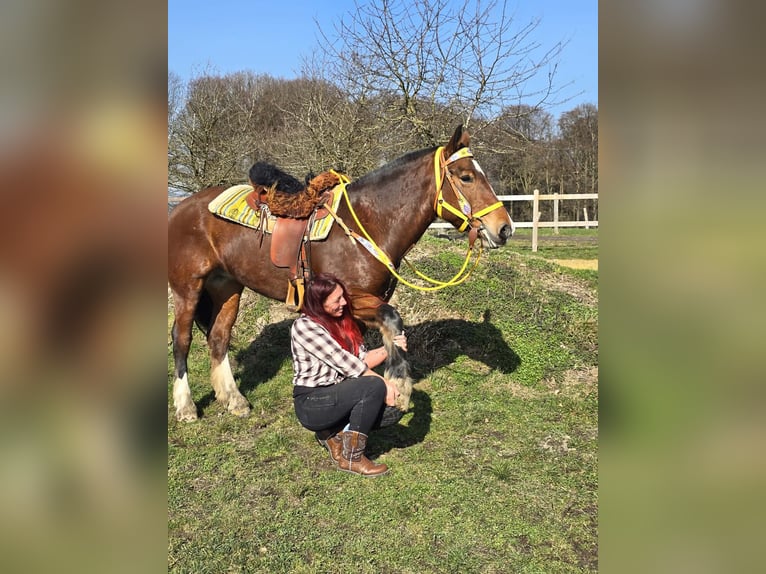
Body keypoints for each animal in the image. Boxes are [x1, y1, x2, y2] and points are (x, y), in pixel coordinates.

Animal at [168, 124, 514, 421]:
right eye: (466, 177)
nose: (504, 228)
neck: (368, 222)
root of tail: (181, 207)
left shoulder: (359, 305)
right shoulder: (353, 297)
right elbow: (392, 318)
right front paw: (399, 385)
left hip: (227, 287)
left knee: (218, 338)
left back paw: (233, 399)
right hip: (188, 288)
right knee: (181, 339)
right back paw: (186, 406)